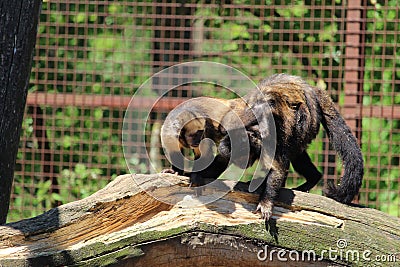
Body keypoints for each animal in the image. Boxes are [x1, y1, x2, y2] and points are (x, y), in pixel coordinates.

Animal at [217, 74, 364, 222]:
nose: (245, 165)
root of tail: (312, 89)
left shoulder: (267, 135)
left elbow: (277, 170)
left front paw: (266, 202)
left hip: (310, 118)